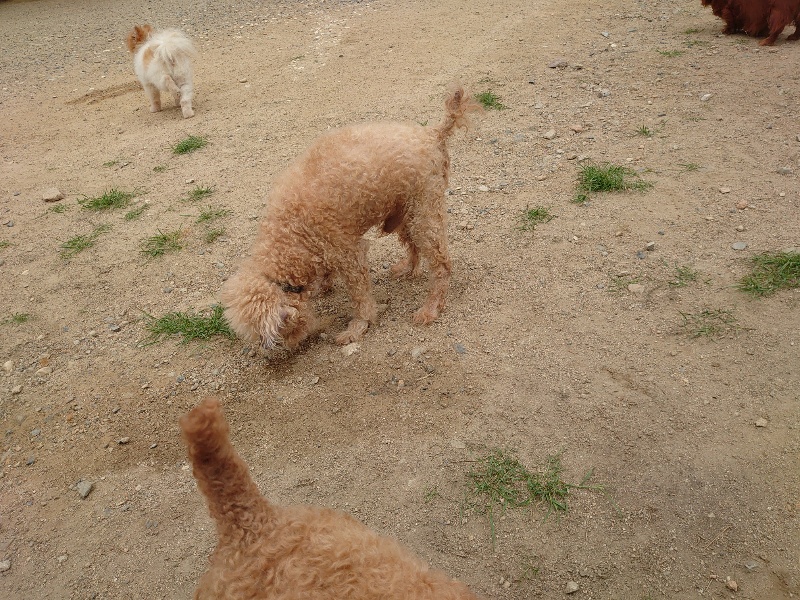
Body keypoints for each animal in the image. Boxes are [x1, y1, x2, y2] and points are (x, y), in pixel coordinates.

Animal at [221, 87, 481, 349]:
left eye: (276, 335)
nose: (289, 346)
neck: (290, 236)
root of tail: (433, 133)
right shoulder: (323, 249)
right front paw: (324, 286)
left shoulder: (348, 253)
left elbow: (360, 297)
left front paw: (357, 328)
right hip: (404, 210)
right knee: (413, 246)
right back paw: (407, 268)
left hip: (424, 210)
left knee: (441, 265)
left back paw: (430, 309)